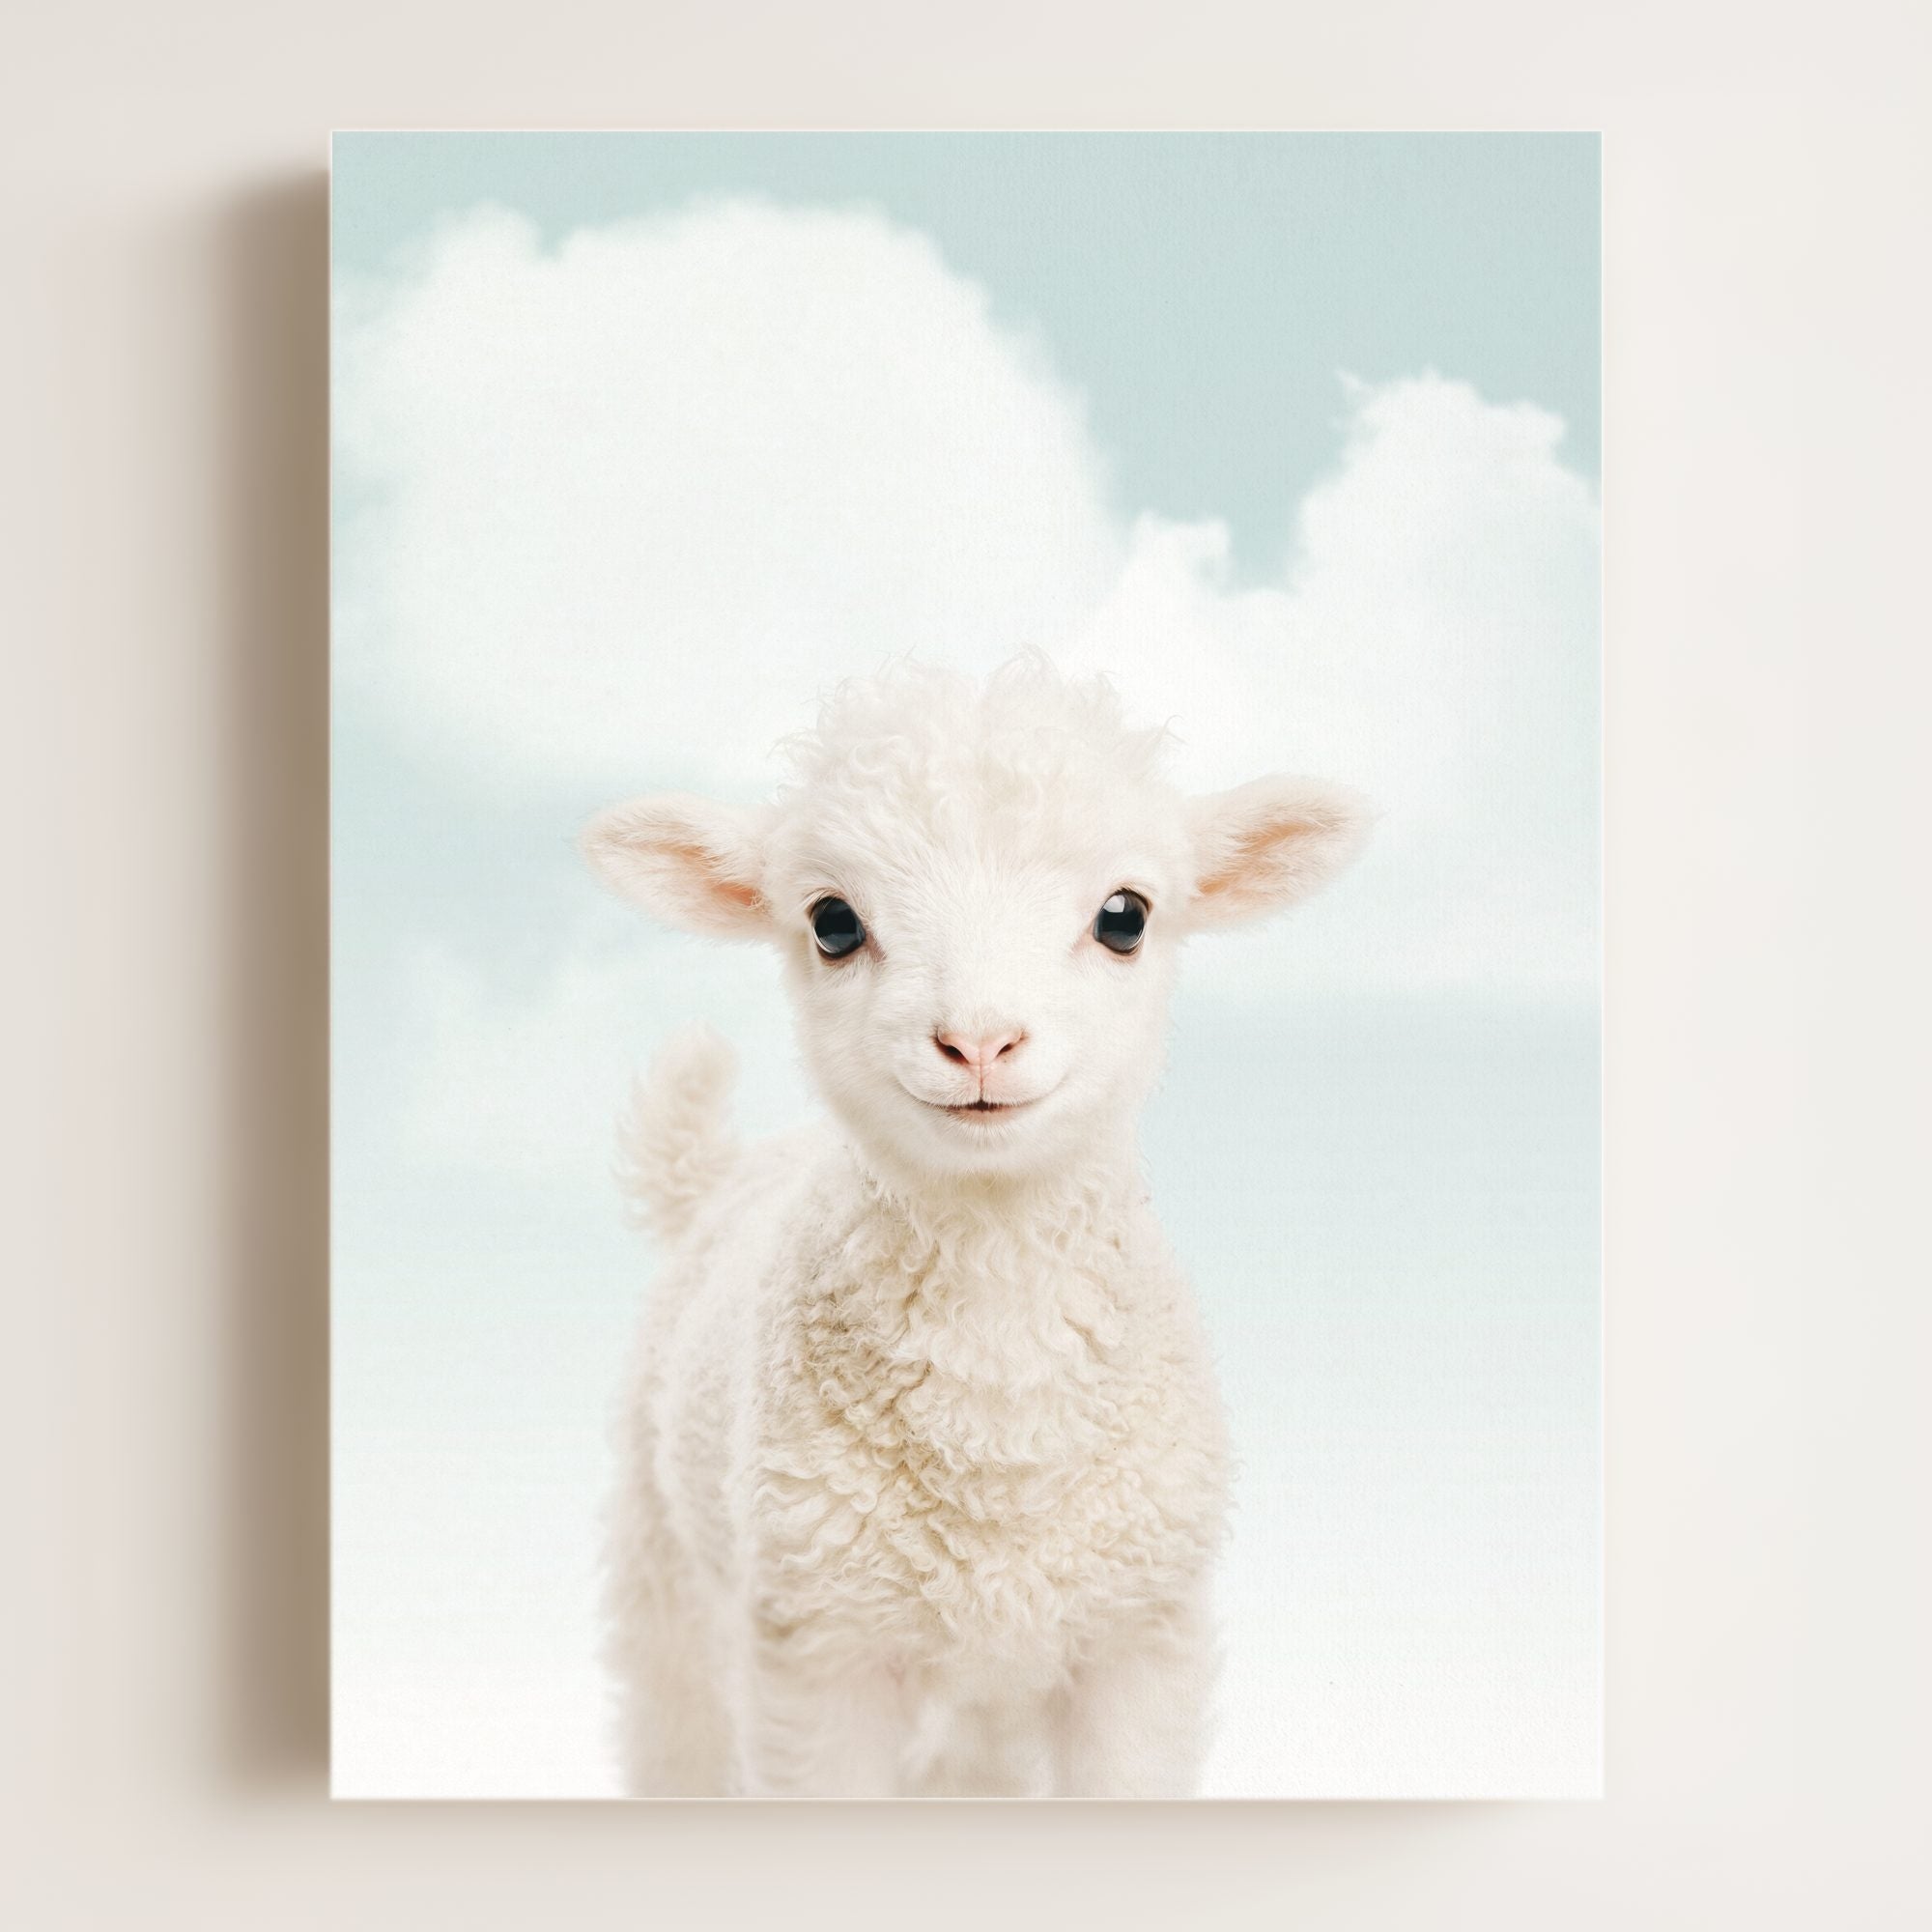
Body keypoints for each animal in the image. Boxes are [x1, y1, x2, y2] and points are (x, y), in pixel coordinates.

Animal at [581, 654, 1368, 1798]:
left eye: (1125, 915)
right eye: (832, 921)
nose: (980, 1040)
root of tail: (724, 1172)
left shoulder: (1138, 1637)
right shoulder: (818, 1651)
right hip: (668, 1568)